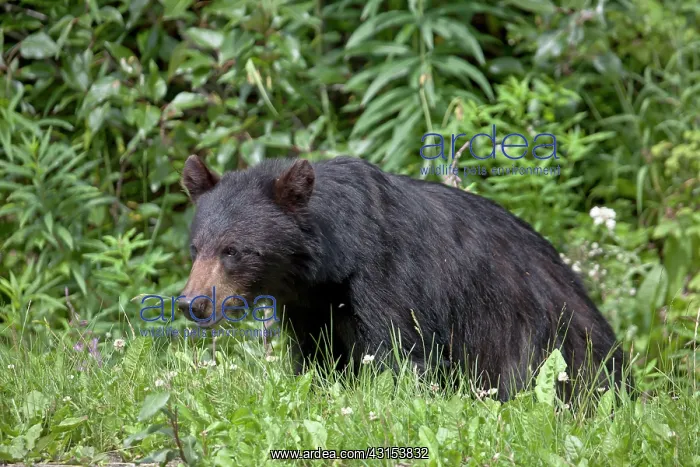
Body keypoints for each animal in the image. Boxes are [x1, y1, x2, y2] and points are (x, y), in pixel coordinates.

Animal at [177, 154, 632, 401]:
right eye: (196, 248)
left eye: (234, 251)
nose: (192, 303)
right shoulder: (310, 305)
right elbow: (318, 357)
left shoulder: (388, 276)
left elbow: (401, 354)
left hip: (549, 340)